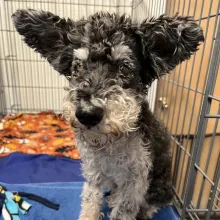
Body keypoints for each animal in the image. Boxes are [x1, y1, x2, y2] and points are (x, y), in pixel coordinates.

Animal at [12, 9, 204, 220]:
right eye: (77, 66)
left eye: (125, 68)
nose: (87, 114)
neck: (110, 145)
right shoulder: (93, 171)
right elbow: (90, 199)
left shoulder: (135, 181)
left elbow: (123, 210)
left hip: (160, 187)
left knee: (156, 202)